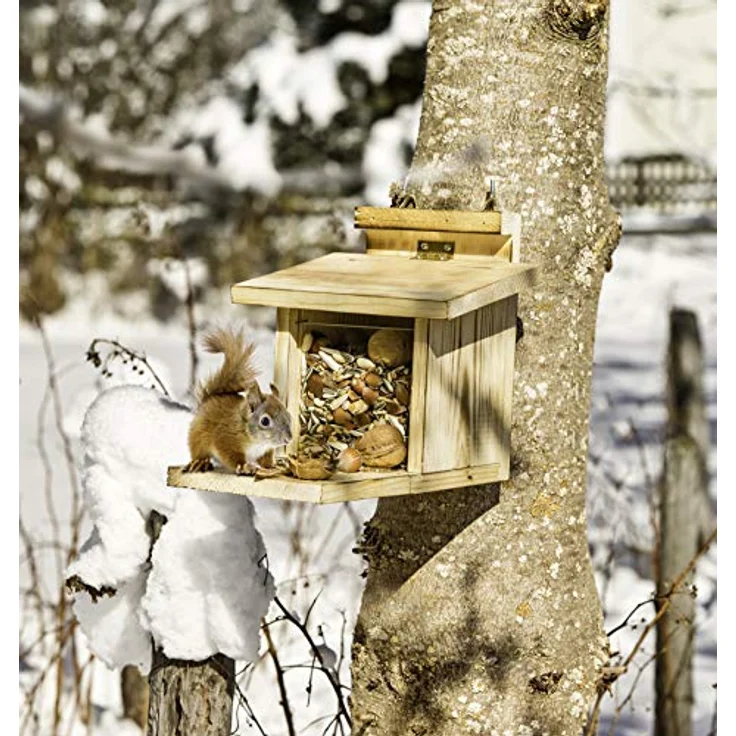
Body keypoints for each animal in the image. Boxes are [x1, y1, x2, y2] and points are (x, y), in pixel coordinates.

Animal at [184, 327, 293, 475]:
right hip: (198, 436)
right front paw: (245, 466)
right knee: (198, 451)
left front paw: (272, 466)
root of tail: (207, 401)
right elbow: (232, 457)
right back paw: (200, 462)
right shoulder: (225, 438)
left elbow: (266, 459)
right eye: (265, 421)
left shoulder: (266, 450)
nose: (288, 439)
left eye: (289, 416)